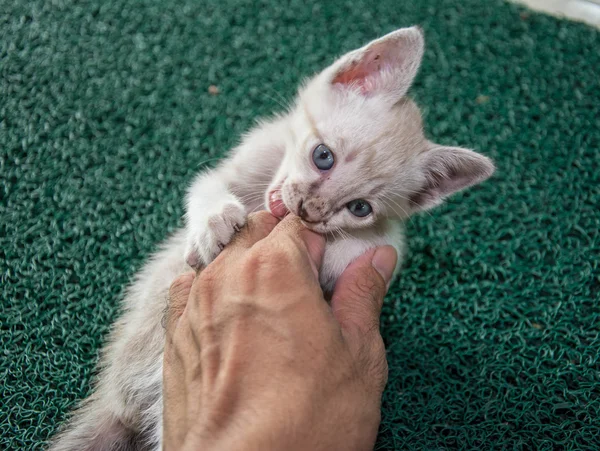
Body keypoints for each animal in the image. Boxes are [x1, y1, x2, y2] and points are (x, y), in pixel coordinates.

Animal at [50, 26, 492, 450]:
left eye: (360, 207)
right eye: (323, 156)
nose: (310, 211)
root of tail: (117, 405)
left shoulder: (389, 239)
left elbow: (370, 247)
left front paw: (334, 248)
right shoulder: (238, 164)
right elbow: (203, 187)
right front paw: (214, 221)